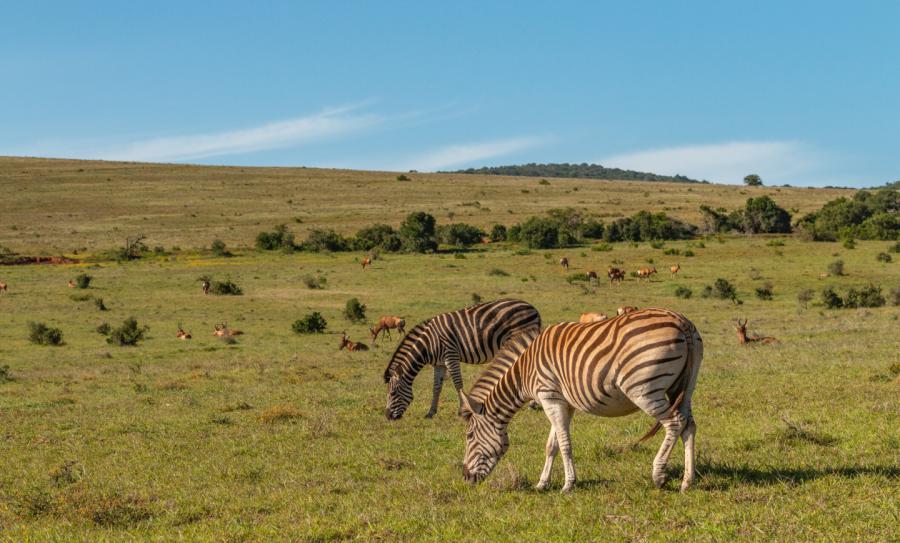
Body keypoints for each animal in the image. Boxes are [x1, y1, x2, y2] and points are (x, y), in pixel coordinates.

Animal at [382, 298, 540, 420]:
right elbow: (436, 387)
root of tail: (532, 308)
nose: (388, 416)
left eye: (392, 393)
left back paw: (532, 404)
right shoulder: (439, 364)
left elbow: (458, 384)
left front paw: (461, 410)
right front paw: (431, 412)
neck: (429, 343)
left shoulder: (451, 355)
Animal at [460, 310, 700, 492]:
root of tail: (681, 321)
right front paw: (542, 484)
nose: (465, 478)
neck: (525, 371)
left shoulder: (549, 396)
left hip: (644, 390)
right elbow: (552, 445)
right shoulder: (562, 402)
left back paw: (658, 475)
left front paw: (568, 484)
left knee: (675, 423)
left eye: (469, 436)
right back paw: (687, 482)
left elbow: (565, 444)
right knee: (688, 425)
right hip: (683, 388)